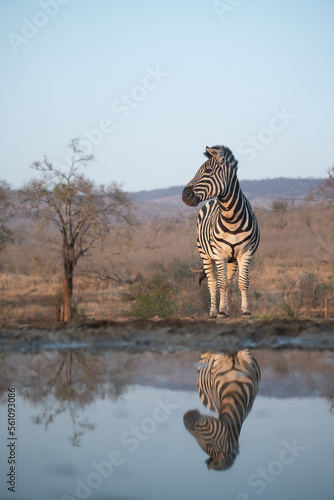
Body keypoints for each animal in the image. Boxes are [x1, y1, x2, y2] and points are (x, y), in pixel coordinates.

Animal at [181, 145, 260, 316]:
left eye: (208, 171)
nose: (184, 196)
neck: (231, 218)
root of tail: (211, 201)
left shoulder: (246, 252)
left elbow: (242, 282)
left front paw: (245, 311)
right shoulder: (218, 253)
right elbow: (220, 283)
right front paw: (221, 312)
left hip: (232, 259)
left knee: (229, 282)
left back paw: (227, 310)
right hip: (206, 255)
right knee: (212, 283)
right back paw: (213, 312)